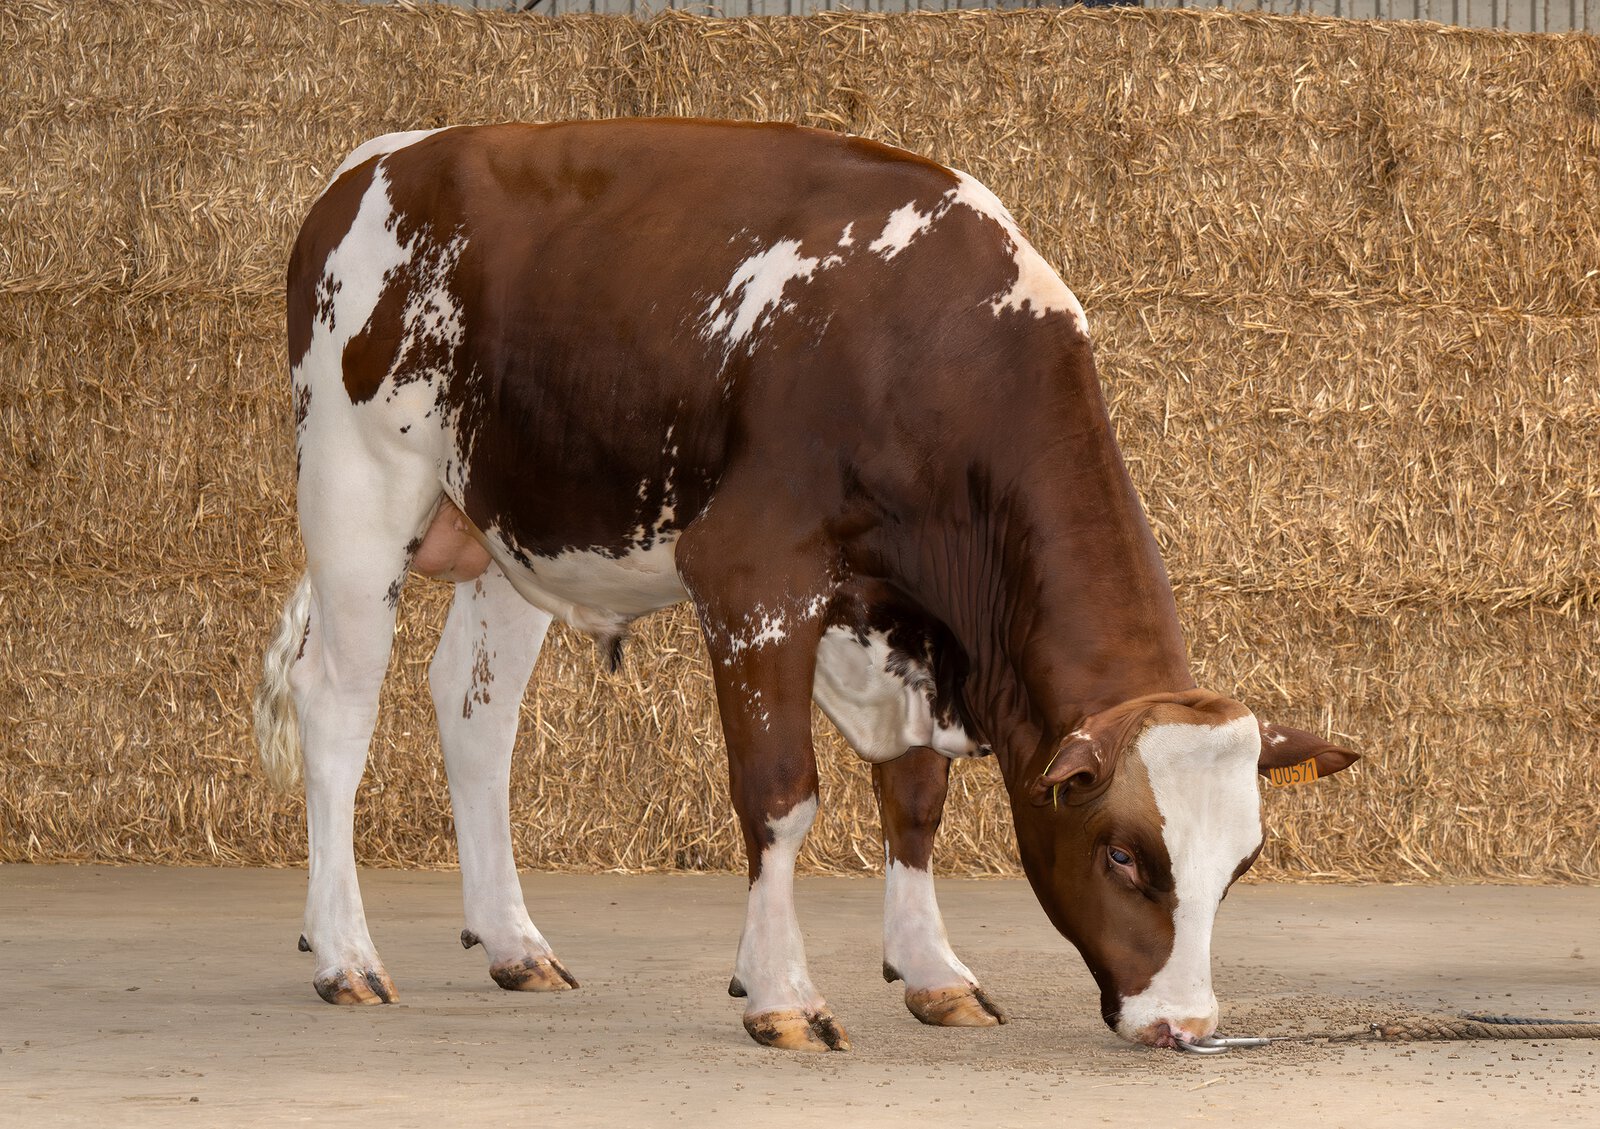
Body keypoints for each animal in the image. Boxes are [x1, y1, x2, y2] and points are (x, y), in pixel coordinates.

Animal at [254, 119, 1358, 1053]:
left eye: (1242, 863)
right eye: (1125, 855)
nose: (1184, 1024)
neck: (925, 347)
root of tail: (384, 156)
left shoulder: (903, 627)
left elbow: (913, 798)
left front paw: (932, 969)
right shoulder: (752, 575)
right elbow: (781, 793)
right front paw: (782, 992)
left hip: (509, 528)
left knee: (474, 713)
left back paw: (515, 943)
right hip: (358, 486)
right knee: (337, 704)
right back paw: (345, 954)